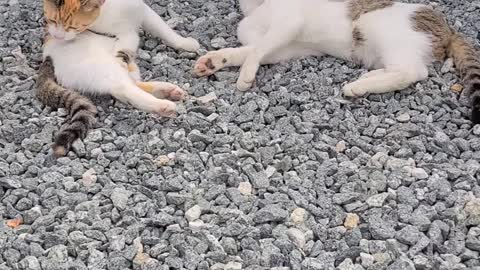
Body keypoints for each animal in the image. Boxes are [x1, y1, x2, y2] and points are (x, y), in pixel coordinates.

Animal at [36, 0, 200, 156]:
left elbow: (163, 29)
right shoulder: (124, 36)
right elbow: (124, 47)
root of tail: (48, 57)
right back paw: (163, 105)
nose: (57, 36)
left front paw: (185, 43)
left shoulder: (142, 11)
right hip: (102, 65)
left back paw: (168, 90)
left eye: (72, 26)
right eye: (50, 20)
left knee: (131, 83)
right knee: (125, 89)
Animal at [194, 0, 480, 124]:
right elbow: (251, 47)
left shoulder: (288, 23)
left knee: (413, 72)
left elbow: (257, 49)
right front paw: (215, 60)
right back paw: (366, 79)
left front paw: (245, 74)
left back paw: (357, 87)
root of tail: (448, 26)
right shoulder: (289, 46)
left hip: (378, 28)